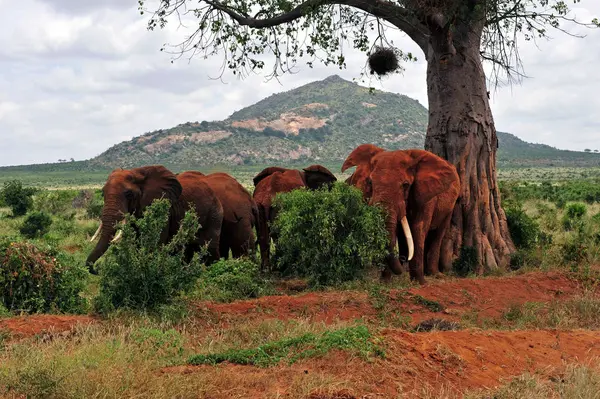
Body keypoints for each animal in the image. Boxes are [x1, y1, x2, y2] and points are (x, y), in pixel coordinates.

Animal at [85, 166, 224, 276]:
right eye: (103, 193)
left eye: (129, 194)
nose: (97, 270)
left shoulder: (164, 209)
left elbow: (154, 243)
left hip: (214, 214)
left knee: (210, 248)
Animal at [342, 145, 460, 284]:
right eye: (370, 182)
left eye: (405, 185)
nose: (403, 259)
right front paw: (385, 282)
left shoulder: (425, 195)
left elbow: (418, 228)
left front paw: (420, 283)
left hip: (450, 206)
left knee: (438, 233)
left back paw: (435, 274)